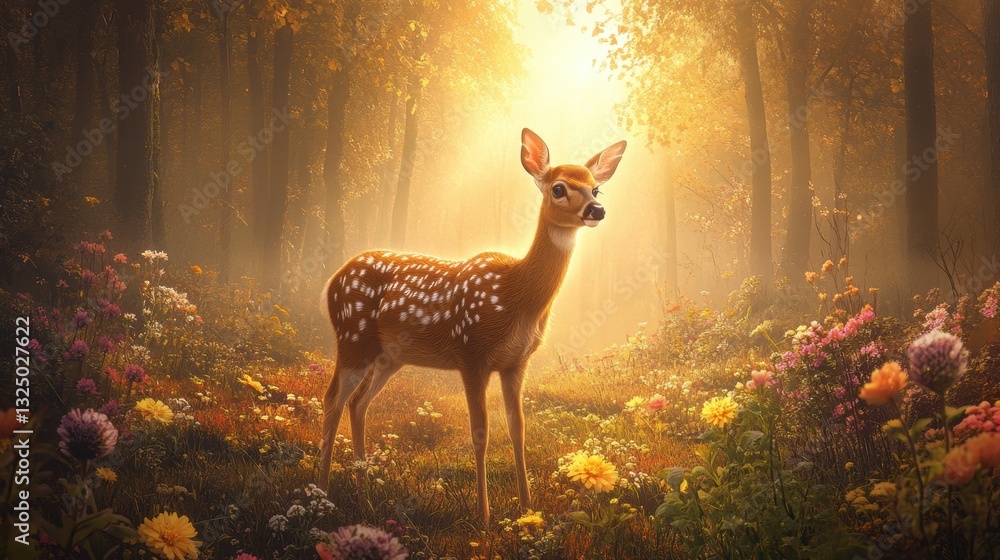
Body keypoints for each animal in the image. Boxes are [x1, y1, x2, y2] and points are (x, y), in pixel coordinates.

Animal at [317, 128, 626, 524]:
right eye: (559, 188)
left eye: (595, 188)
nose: (596, 210)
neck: (516, 295)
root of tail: (331, 282)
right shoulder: (471, 353)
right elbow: (480, 432)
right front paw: (484, 517)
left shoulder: (516, 363)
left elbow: (518, 428)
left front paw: (528, 508)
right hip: (352, 338)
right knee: (332, 400)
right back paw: (322, 496)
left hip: (389, 356)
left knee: (357, 403)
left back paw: (364, 499)